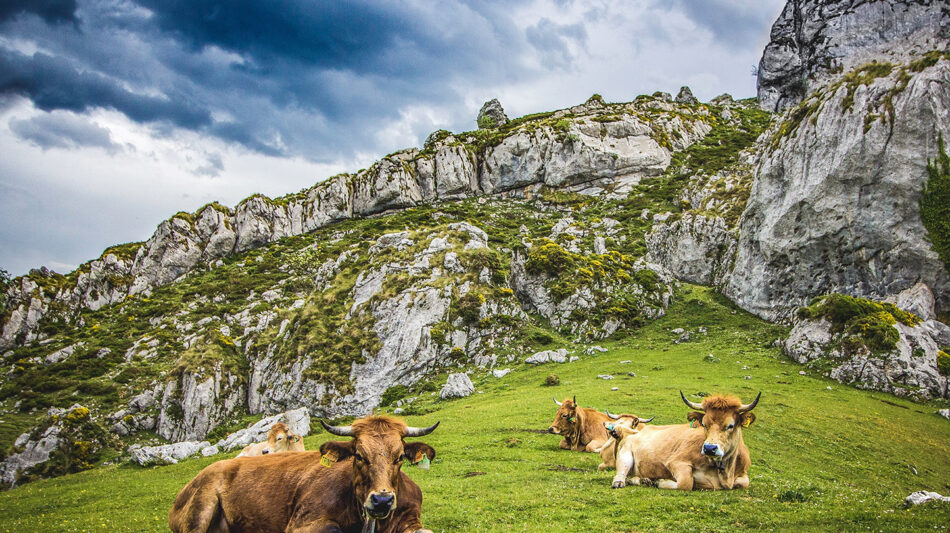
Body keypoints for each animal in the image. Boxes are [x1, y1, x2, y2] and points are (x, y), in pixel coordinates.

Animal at [612, 390, 764, 490]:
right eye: (704, 424)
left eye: (730, 425)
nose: (709, 448)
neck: (725, 473)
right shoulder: (677, 462)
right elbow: (686, 483)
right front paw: (660, 482)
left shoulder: (743, 474)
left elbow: (744, 483)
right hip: (625, 454)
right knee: (621, 474)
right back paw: (624, 482)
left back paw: (644, 480)